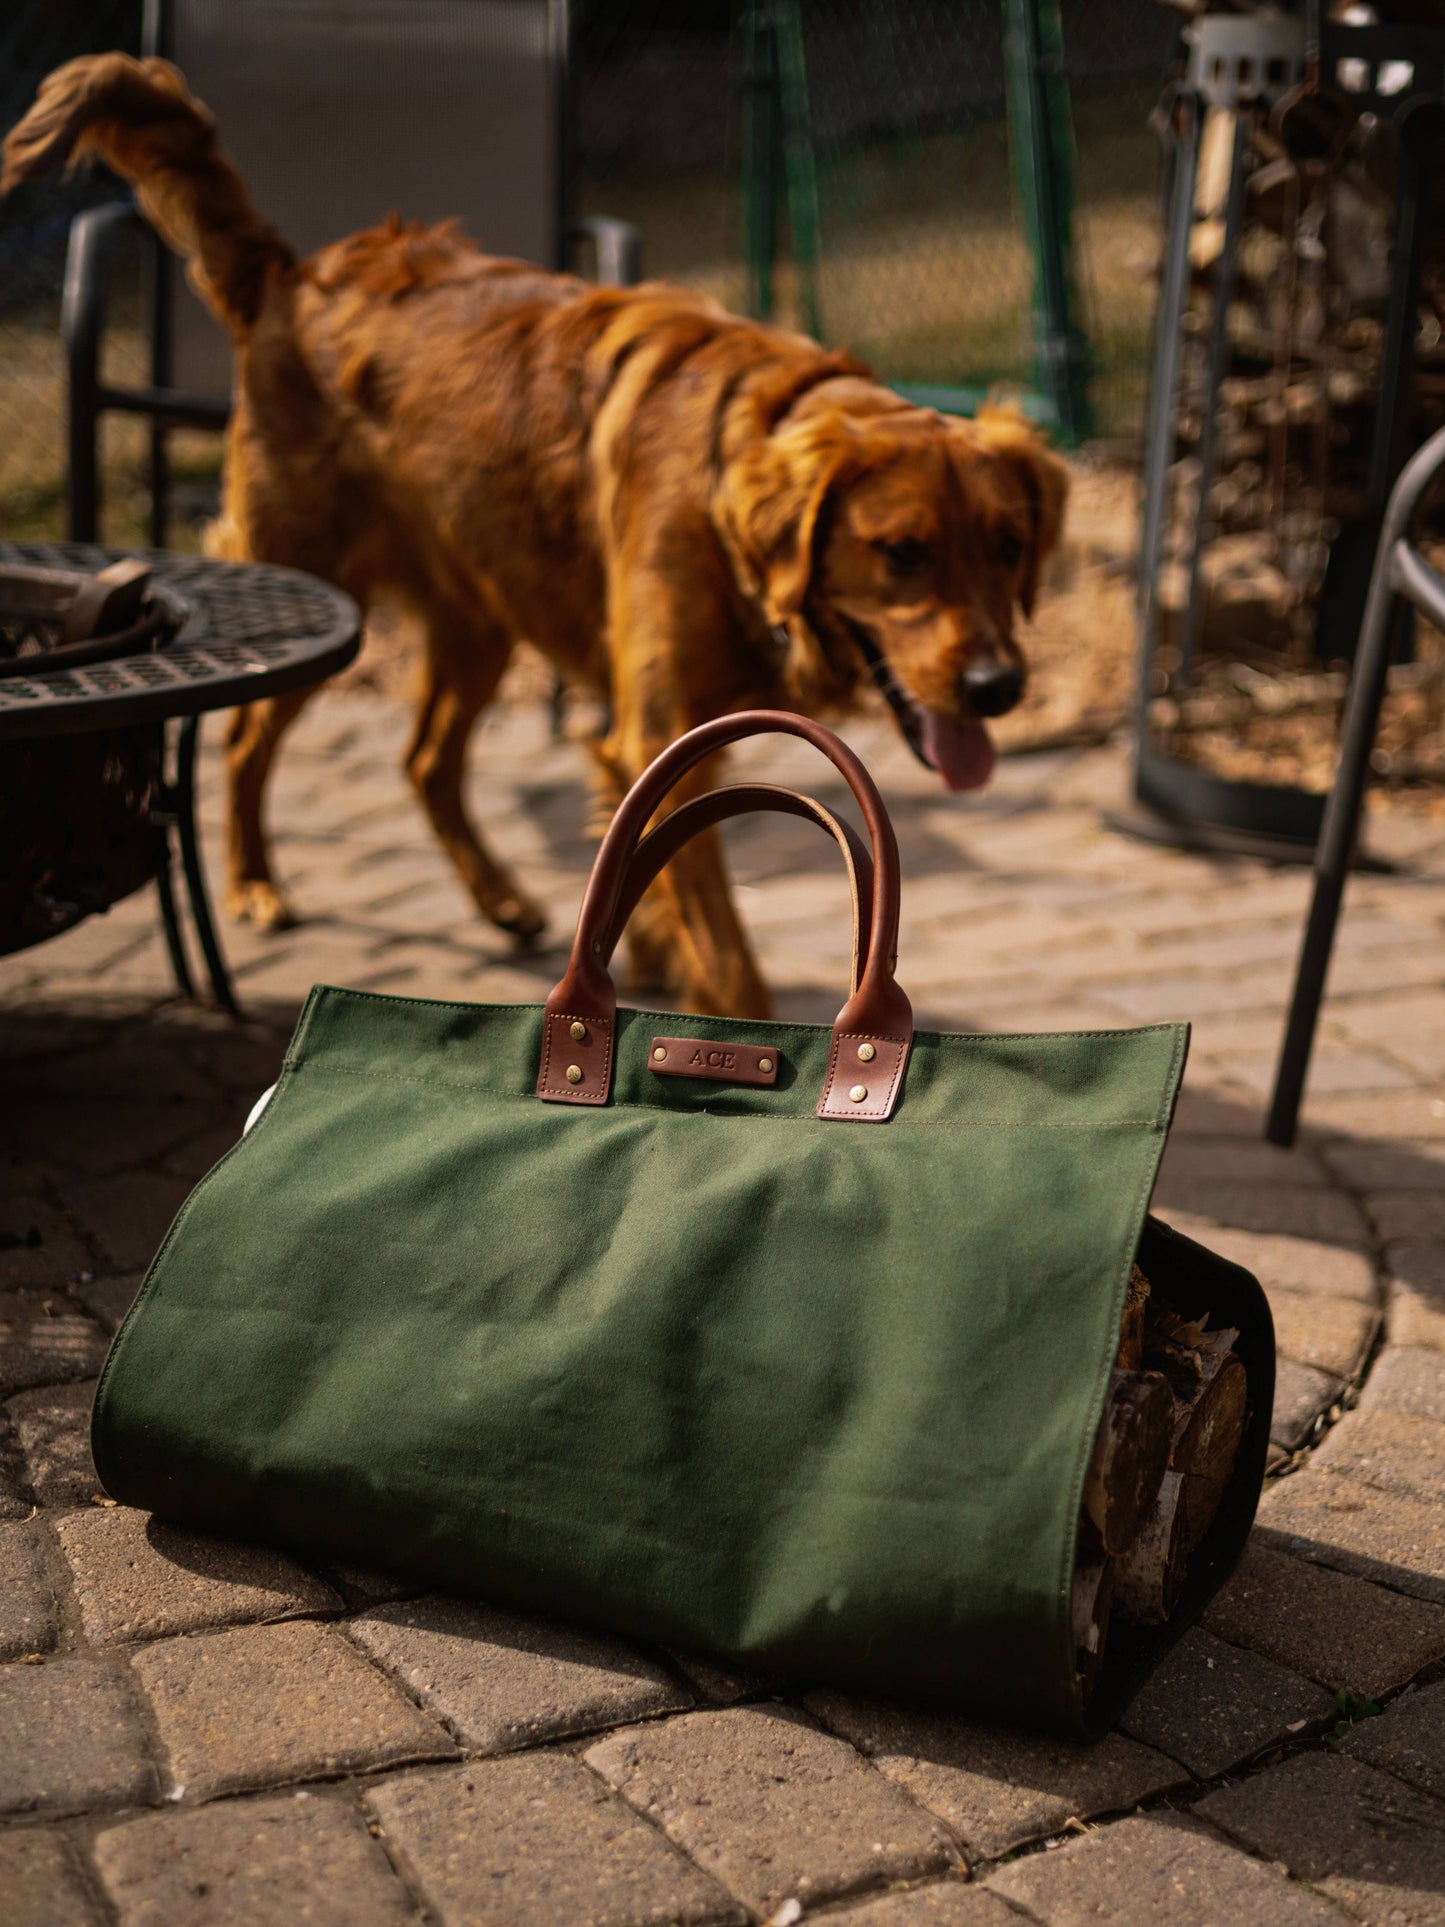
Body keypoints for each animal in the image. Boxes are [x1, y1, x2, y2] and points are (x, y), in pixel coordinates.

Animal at [2, 52, 1063, 1025]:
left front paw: (645, 965)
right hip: (312, 582)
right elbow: (729, 963)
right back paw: (256, 884)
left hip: (480, 612)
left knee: (424, 760)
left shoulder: (656, 740)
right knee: (244, 739)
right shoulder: (658, 729)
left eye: (1007, 546)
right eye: (903, 551)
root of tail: (296, 277)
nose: (997, 688)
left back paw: (501, 899)